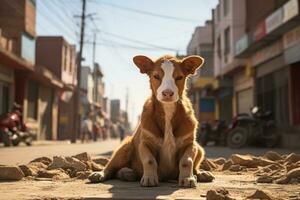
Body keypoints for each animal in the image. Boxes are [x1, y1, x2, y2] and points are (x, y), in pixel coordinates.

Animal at [89, 54, 205, 188]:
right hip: (125, 146)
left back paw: (201, 174)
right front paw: (149, 178)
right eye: (156, 76)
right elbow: (149, 160)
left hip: (200, 149)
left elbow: (187, 161)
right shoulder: (144, 143)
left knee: (195, 166)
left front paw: (188, 178)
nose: (167, 93)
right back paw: (110, 173)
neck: (167, 110)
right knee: (111, 167)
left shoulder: (190, 144)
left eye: (179, 77)